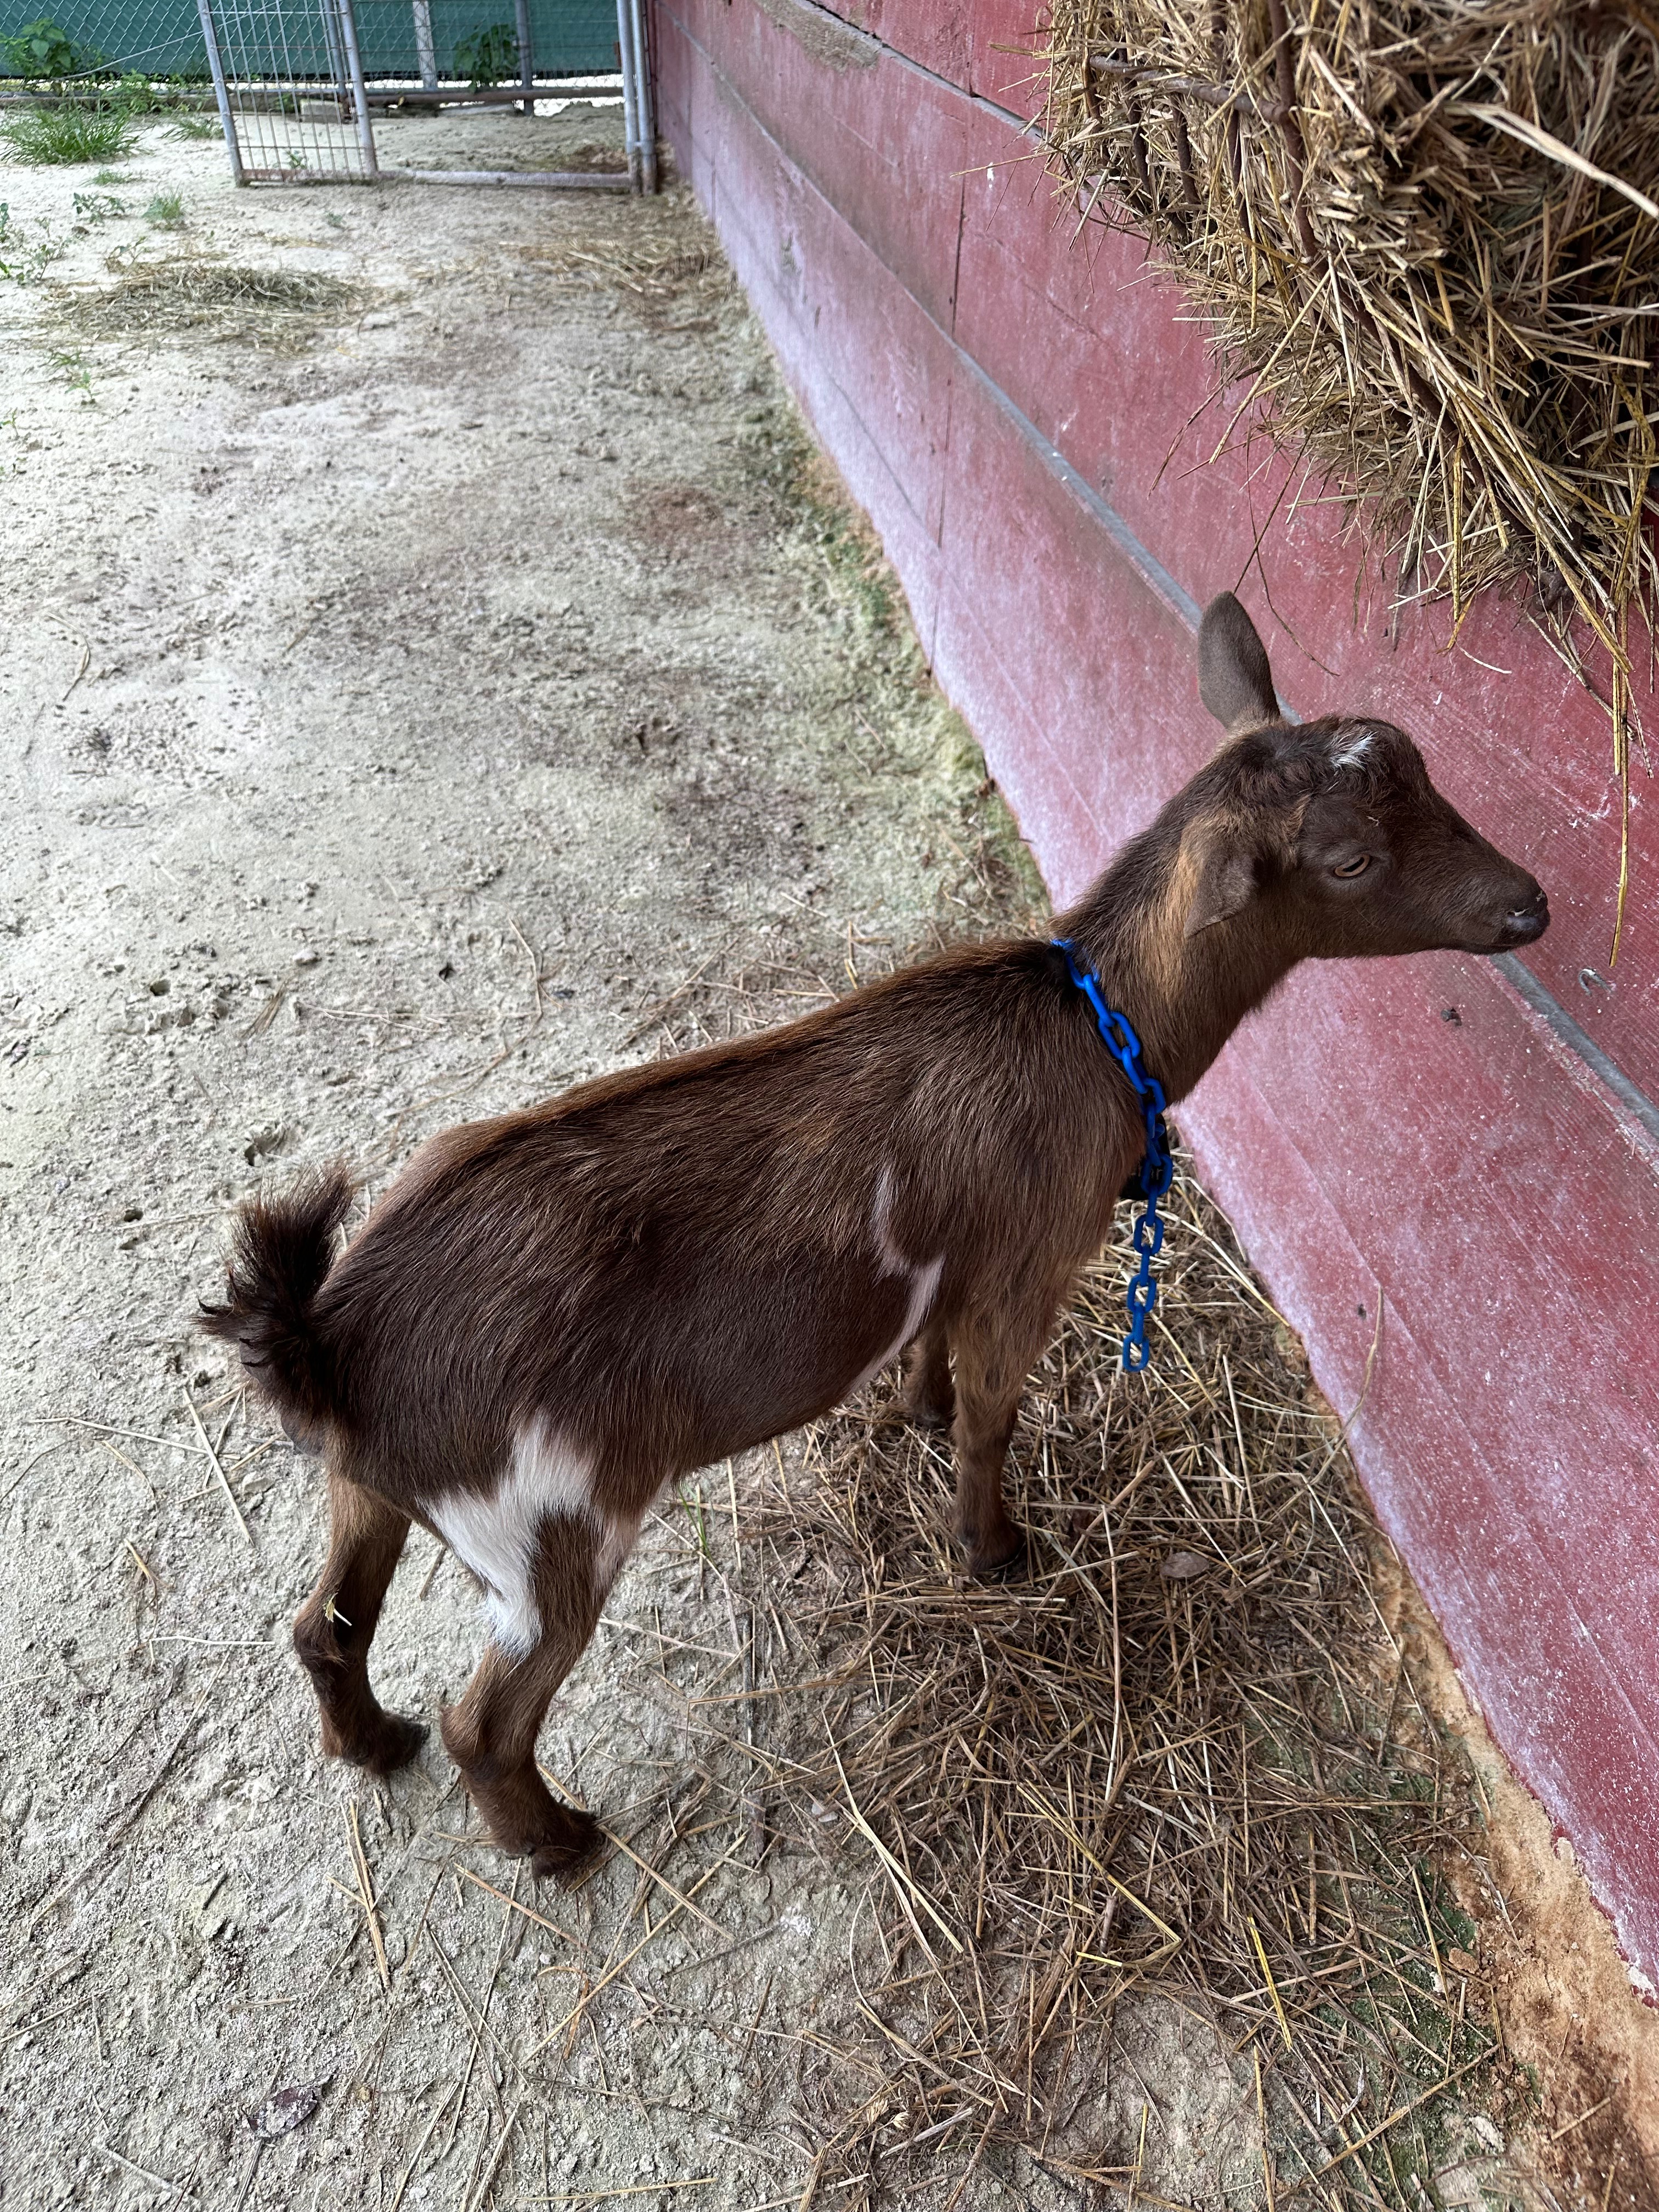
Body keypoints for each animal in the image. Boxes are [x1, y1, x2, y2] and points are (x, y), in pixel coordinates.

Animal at [202, 594, 1548, 1879]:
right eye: (1351, 857)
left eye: (1427, 774)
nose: (1528, 906)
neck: (1095, 1023)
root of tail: (330, 1344)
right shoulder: (1029, 1259)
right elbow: (1000, 1413)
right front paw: (993, 1548)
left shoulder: (960, 1264)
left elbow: (932, 1356)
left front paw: (917, 1411)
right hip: (547, 1526)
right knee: (487, 1717)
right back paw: (559, 1841)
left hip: (368, 1488)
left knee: (321, 1625)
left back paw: (375, 1744)